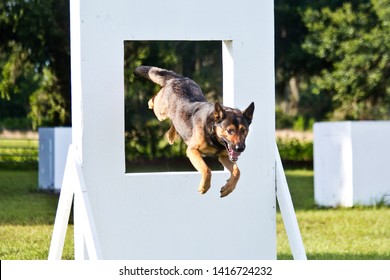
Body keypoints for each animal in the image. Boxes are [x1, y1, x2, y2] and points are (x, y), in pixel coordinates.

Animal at [135, 65, 256, 197]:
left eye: (244, 131)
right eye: (230, 131)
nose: (240, 148)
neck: (212, 131)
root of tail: (179, 78)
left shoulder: (224, 157)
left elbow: (237, 172)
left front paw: (228, 188)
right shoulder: (192, 151)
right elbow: (206, 169)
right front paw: (204, 186)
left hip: (174, 114)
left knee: (174, 121)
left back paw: (171, 135)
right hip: (161, 112)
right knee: (154, 99)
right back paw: (151, 103)